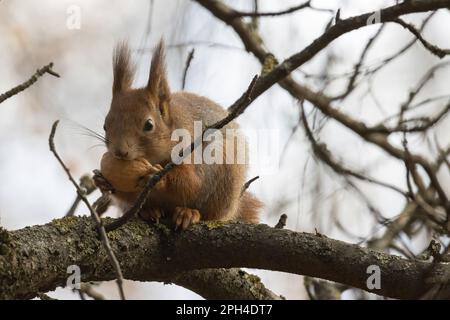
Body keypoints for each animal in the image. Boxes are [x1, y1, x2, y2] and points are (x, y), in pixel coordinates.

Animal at [96, 40, 262, 230]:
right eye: (105, 126)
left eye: (149, 125)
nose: (120, 152)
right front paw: (101, 180)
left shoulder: (192, 152)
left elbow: (190, 182)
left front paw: (158, 178)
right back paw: (149, 211)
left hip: (224, 181)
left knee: (210, 213)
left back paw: (188, 213)